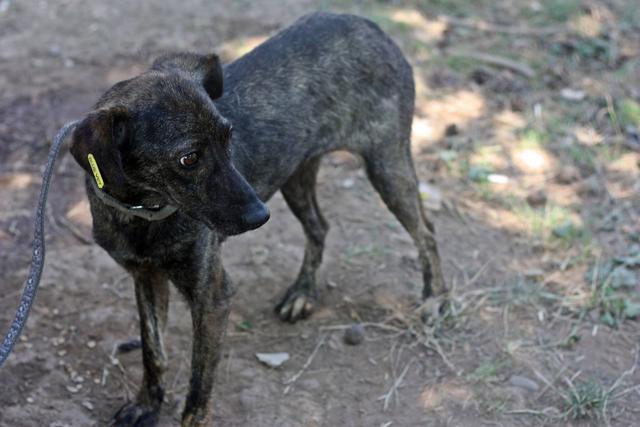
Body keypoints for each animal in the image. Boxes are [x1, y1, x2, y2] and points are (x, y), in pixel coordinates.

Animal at [70, 11, 448, 426]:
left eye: (228, 137)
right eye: (188, 158)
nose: (260, 216)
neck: (144, 213)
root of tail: (370, 24)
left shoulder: (212, 296)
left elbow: (199, 386)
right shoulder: (146, 278)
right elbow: (153, 351)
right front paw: (145, 406)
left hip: (386, 163)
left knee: (427, 232)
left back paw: (435, 301)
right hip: (298, 174)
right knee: (320, 226)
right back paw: (302, 294)